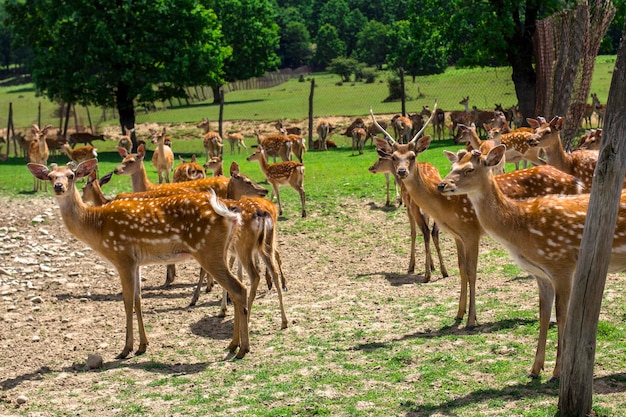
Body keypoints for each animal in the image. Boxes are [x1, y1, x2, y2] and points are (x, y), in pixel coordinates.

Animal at [26, 158, 251, 360]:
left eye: (71, 176)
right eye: (50, 176)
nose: (58, 187)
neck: (96, 225)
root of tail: (231, 215)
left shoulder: (122, 256)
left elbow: (126, 302)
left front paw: (125, 349)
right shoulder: (136, 263)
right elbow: (138, 300)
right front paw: (143, 345)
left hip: (208, 251)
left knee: (239, 288)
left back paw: (242, 348)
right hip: (221, 251)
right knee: (236, 290)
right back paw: (233, 345)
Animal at [436, 144, 624, 380]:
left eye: (469, 169)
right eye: (453, 167)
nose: (441, 184)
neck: (521, 226)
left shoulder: (561, 265)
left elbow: (562, 316)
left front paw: (557, 371)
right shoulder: (541, 274)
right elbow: (543, 315)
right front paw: (535, 369)